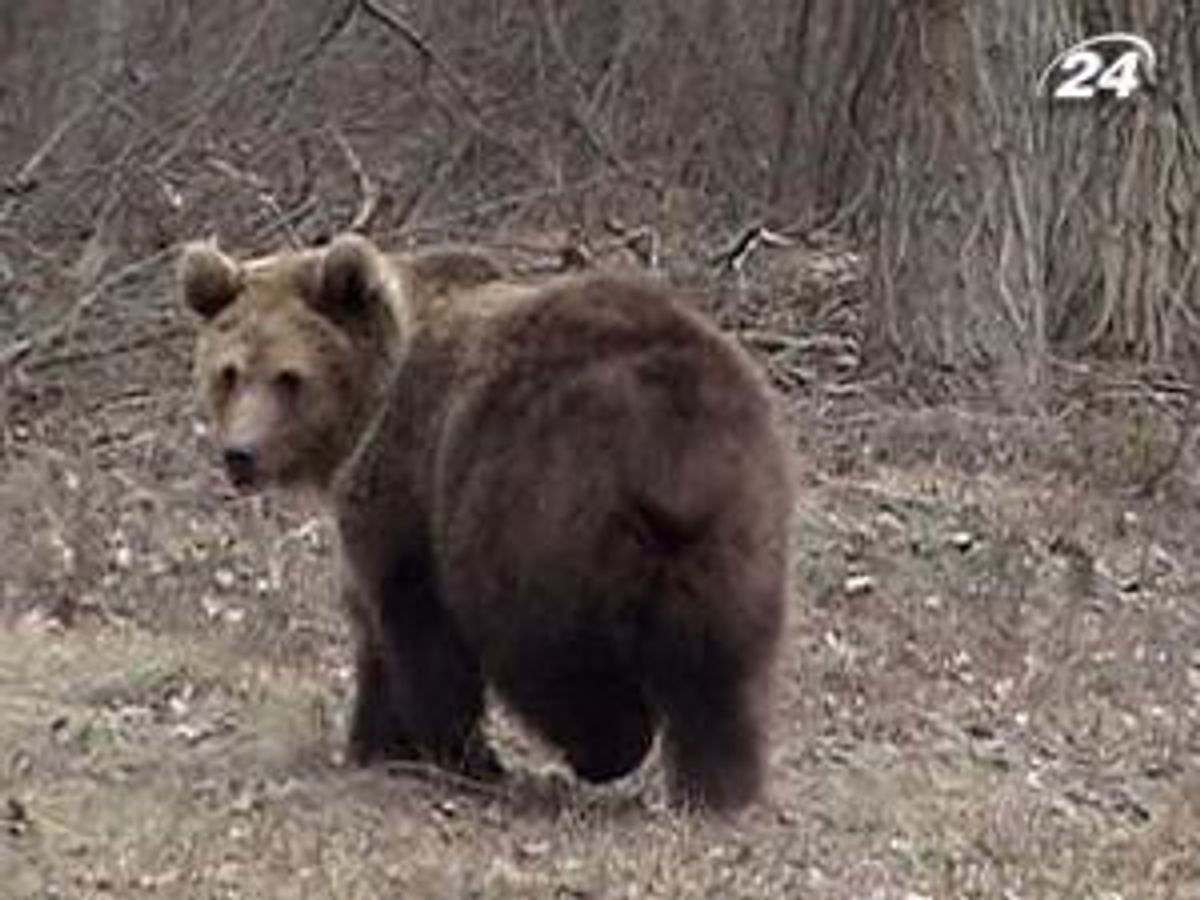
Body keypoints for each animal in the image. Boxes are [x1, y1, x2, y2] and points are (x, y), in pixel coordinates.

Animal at [177, 236, 792, 816]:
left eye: (290, 377)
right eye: (229, 373)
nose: (241, 454)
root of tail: (670, 431)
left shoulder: (407, 482)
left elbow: (416, 624)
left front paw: (453, 756)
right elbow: (376, 631)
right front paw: (375, 746)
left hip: (531, 502)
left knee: (540, 644)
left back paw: (605, 749)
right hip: (734, 523)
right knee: (719, 663)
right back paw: (717, 788)